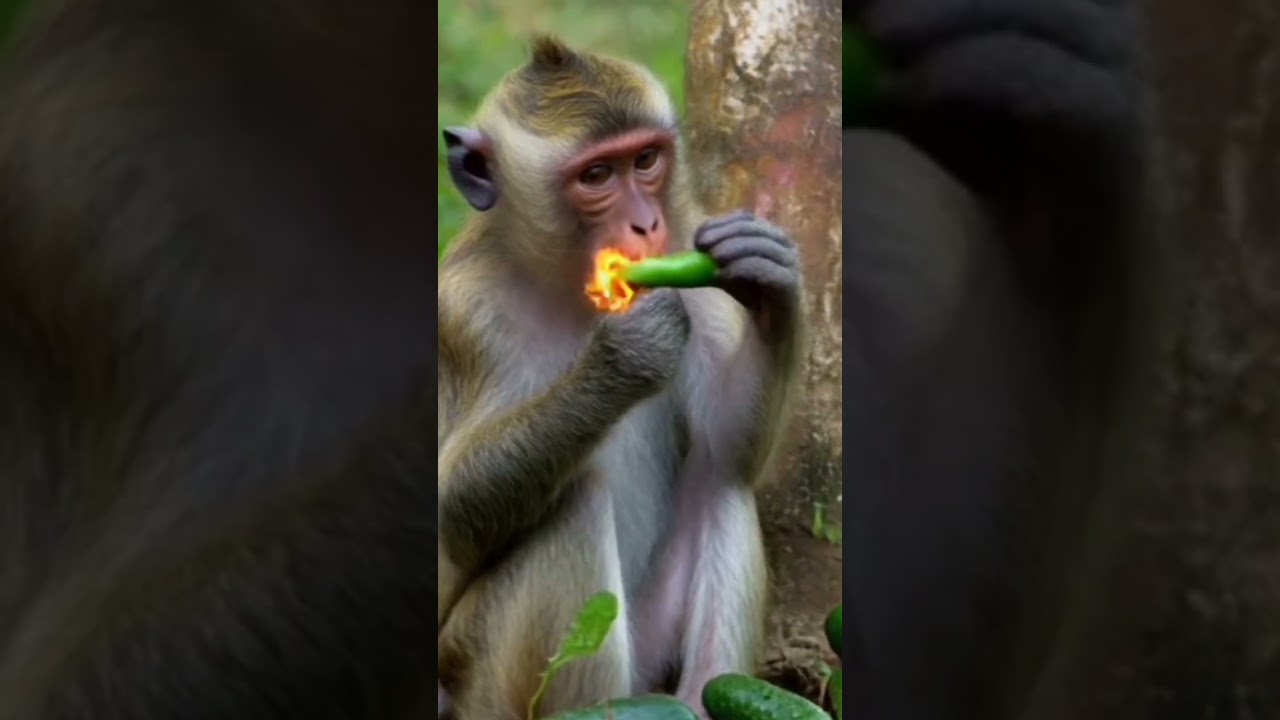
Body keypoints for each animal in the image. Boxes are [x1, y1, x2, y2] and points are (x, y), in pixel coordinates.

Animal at [435, 37, 805, 720]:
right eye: (597, 177)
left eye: (646, 161)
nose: (646, 226)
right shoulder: (463, 315)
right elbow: (449, 507)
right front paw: (622, 358)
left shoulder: (694, 265)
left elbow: (729, 443)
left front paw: (769, 277)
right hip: (476, 675)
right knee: (573, 505)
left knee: (721, 481)